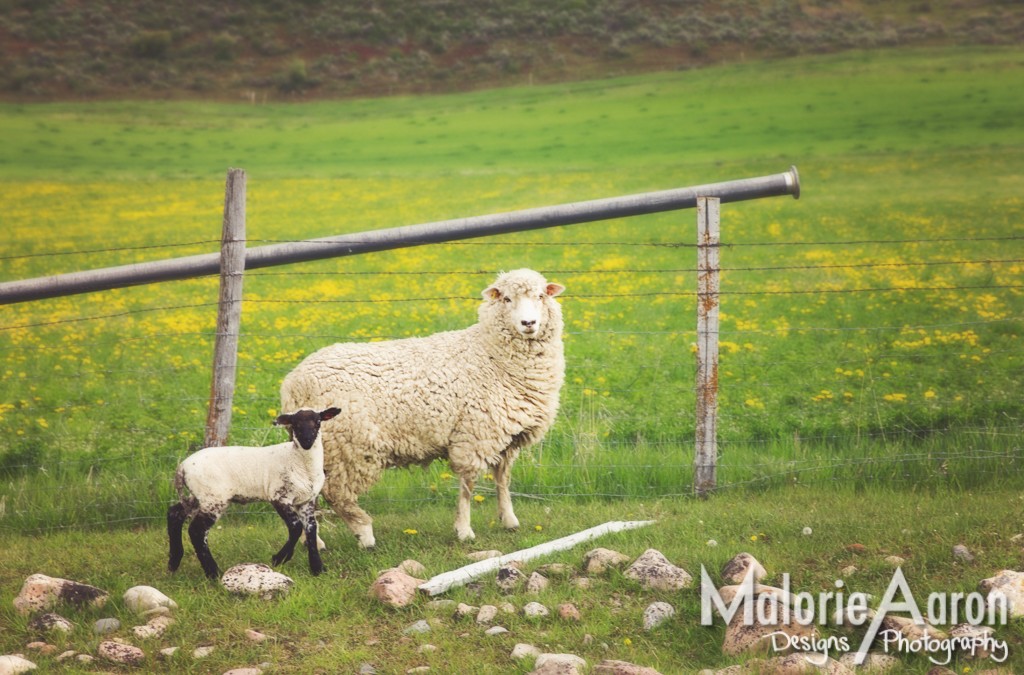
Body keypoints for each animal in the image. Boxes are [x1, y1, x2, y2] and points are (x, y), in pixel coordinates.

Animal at [167, 407, 342, 581]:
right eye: (295, 424)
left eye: (318, 422)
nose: (307, 441)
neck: (298, 461)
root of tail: (182, 467)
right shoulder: (279, 497)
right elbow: (296, 528)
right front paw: (279, 558)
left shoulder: (306, 501)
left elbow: (311, 529)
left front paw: (318, 568)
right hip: (213, 498)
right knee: (196, 531)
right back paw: (213, 573)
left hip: (200, 496)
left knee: (175, 513)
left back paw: (174, 562)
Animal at [280, 268, 569, 549]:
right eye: (507, 299)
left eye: (541, 296)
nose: (528, 324)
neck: (489, 355)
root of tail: (293, 383)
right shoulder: (474, 435)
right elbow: (468, 486)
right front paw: (464, 531)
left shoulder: (507, 436)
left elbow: (503, 479)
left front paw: (509, 519)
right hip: (348, 446)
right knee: (336, 493)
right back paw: (363, 534)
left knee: (309, 495)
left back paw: (314, 541)